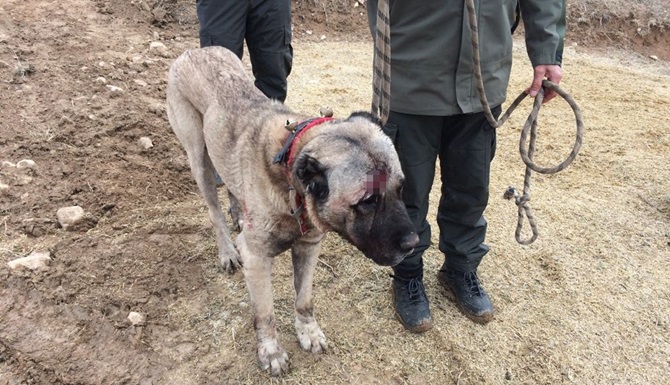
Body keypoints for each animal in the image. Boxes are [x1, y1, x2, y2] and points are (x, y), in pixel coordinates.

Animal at [167, 46, 420, 374]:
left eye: (401, 188)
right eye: (367, 201)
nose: (414, 244)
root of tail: (194, 50)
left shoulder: (309, 247)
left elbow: (304, 299)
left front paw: (308, 332)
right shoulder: (257, 258)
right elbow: (266, 314)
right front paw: (271, 352)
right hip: (198, 156)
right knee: (213, 210)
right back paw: (227, 251)